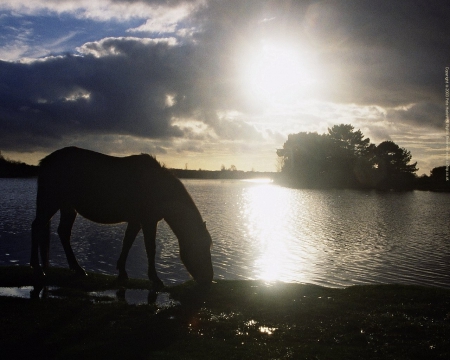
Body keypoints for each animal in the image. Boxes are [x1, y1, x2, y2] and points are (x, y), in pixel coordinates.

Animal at [30, 146, 214, 290]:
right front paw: (155, 279)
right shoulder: (148, 221)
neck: (159, 188)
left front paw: (122, 272)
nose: (209, 279)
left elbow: (127, 243)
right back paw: (38, 269)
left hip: (68, 208)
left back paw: (78, 269)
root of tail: (45, 161)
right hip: (50, 202)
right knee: (37, 227)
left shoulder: (136, 221)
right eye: (202, 247)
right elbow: (150, 248)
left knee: (63, 233)